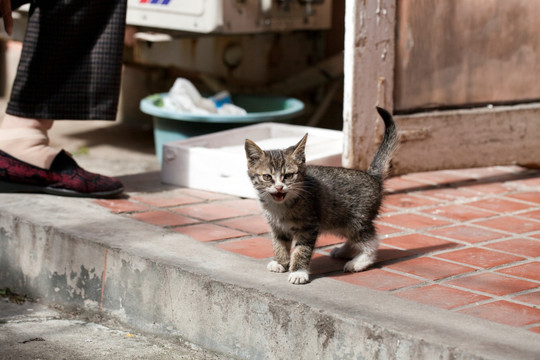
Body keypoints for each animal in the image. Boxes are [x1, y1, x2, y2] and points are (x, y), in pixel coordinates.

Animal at [245, 107, 396, 284]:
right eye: (267, 177)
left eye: (288, 176)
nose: (279, 187)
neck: (280, 205)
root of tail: (372, 175)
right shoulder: (277, 226)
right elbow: (279, 243)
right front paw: (280, 262)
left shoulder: (308, 226)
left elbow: (301, 250)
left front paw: (298, 272)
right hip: (338, 219)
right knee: (354, 238)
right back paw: (344, 251)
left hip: (356, 219)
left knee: (371, 241)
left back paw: (360, 261)